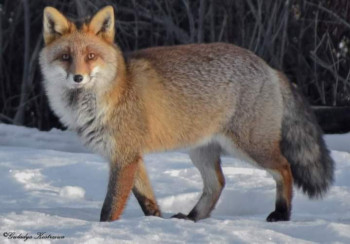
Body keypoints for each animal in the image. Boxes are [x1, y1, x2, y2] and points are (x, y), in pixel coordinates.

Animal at [39, 6, 334, 223]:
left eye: (91, 56)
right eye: (65, 57)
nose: (78, 77)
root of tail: (269, 67)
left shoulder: (124, 157)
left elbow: (110, 207)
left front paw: (107, 229)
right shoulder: (130, 156)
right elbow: (147, 200)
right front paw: (155, 223)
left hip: (250, 147)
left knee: (284, 168)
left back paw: (282, 213)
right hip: (201, 151)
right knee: (218, 183)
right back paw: (193, 218)